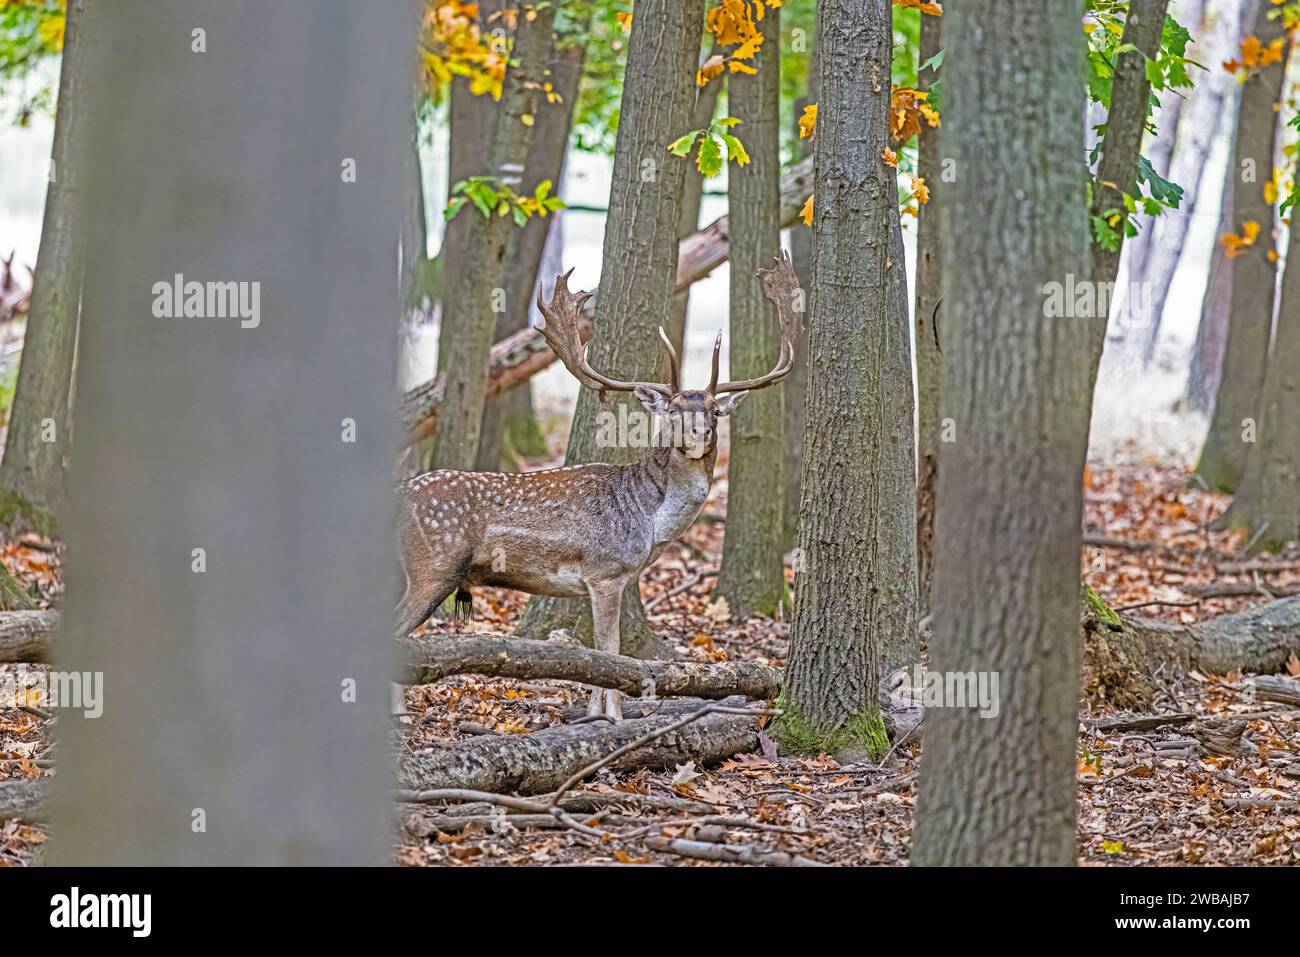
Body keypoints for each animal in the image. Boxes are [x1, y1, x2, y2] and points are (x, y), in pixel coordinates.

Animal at [397, 250, 800, 712]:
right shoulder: (604, 572)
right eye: (674, 409)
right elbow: (610, 650)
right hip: (433, 566)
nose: (701, 432)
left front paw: (595, 714)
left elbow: (602, 651)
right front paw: (612, 717)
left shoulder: (610, 580)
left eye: (715, 410)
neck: (649, 522)